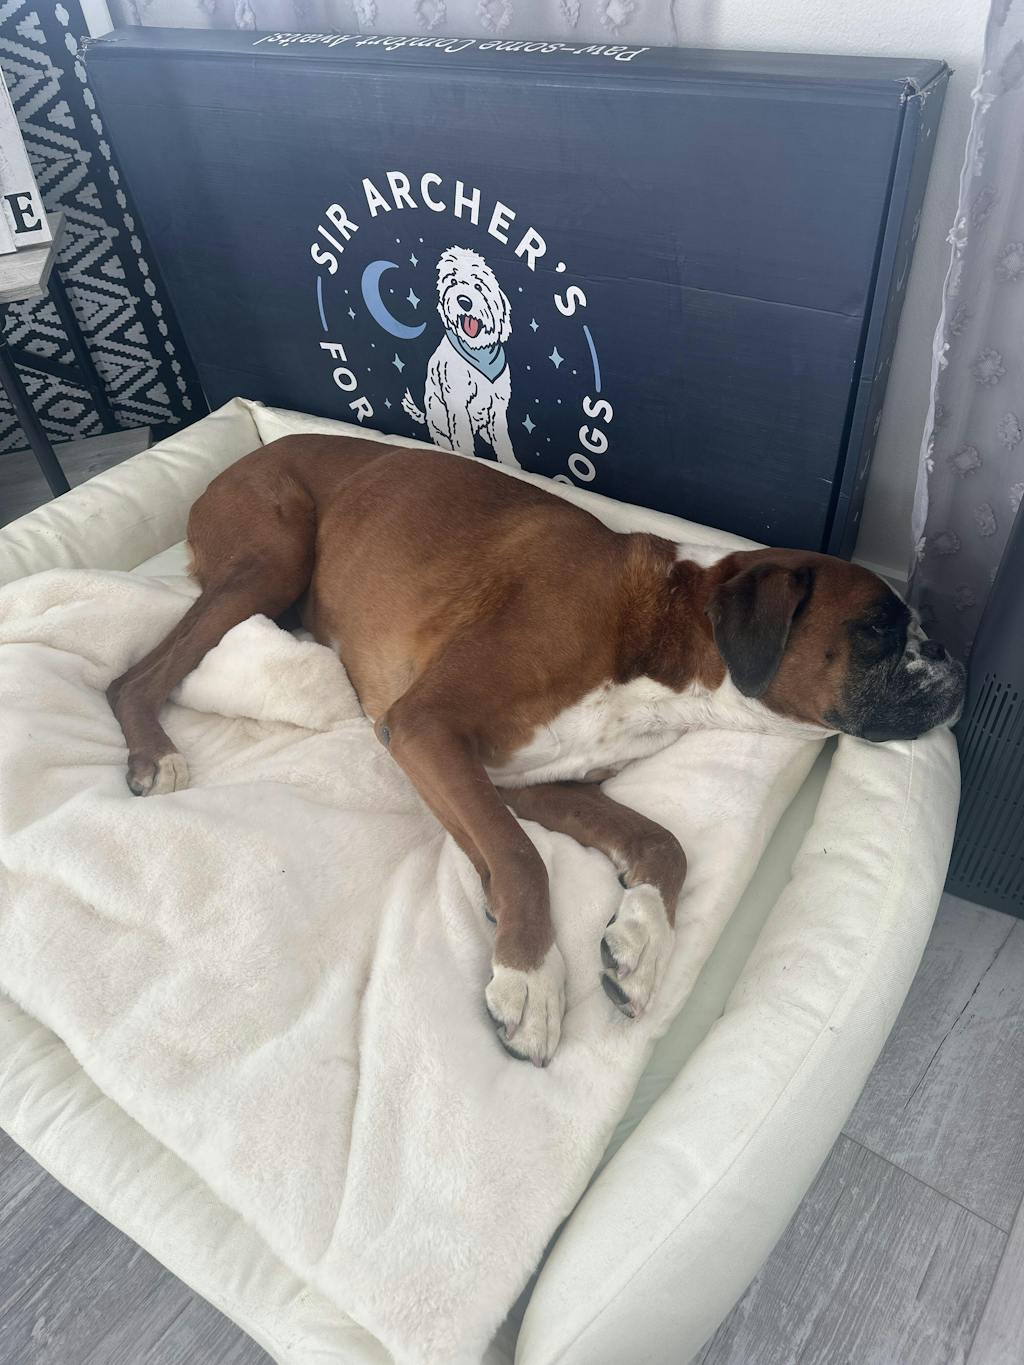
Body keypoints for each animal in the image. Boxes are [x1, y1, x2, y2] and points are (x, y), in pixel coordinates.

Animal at [108, 436, 966, 1064]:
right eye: (879, 629)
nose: (951, 658)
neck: (671, 637)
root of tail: (233, 461)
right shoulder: (426, 726)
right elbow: (522, 856)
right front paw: (532, 975)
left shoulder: (537, 781)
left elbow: (663, 842)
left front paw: (643, 941)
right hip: (273, 553)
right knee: (132, 674)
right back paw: (155, 752)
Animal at [404, 248, 521, 472]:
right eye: (452, 282)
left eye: (478, 286)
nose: (464, 301)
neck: (478, 351)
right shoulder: (457, 401)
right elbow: (462, 435)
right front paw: (466, 454)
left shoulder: (498, 405)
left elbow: (502, 439)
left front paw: (511, 463)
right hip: (438, 414)